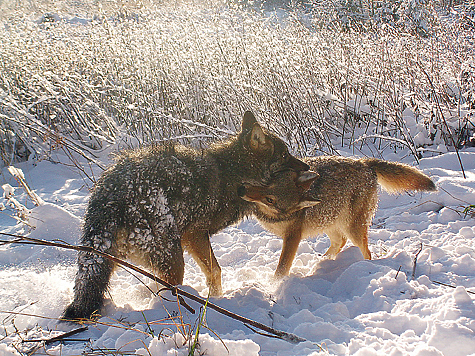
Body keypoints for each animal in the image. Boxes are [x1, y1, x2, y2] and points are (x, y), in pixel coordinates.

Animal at [62, 111, 308, 320]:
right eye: (285, 155)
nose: (307, 165)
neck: (233, 174)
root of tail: (110, 196)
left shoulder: (193, 240)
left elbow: (213, 273)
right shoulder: (195, 235)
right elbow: (216, 271)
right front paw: (217, 300)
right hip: (174, 260)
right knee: (169, 292)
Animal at [240, 157, 436, 280]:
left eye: (270, 199)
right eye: (267, 182)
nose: (242, 189)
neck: (272, 215)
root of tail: (365, 163)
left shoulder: (293, 237)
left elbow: (281, 269)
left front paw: (273, 287)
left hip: (352, 229)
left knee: (366, 251)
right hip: (329, 223)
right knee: (339, 242)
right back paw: (320, 263)